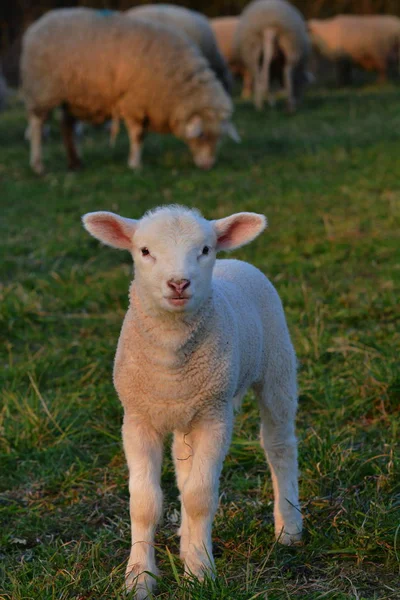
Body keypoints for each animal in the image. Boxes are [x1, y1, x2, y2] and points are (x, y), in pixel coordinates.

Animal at [20, 8, 239, 173]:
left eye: (219, 137)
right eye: (202, 136)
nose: (208, 166)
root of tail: (38, 24)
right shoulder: (134, 102)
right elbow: (138, 135)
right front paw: (135, 164)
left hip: (73, 96)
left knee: (67, 126)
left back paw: (75, 163)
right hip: (43, 90)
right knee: (38, 125)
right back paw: (38, 165)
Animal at [83, 205, 302, 600]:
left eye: (204, 249)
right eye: (144, 251)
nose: (178, 284)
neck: (172, 360)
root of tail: (237, 261)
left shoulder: (215, 416)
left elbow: (200, 497)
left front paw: (200, 573)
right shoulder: (138, 418)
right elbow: (144, 502)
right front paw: (139, 578)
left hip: (277, 366)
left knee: (279, 446)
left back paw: (289, 527)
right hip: (188, 412)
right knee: (184, 466)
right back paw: (187, 541)